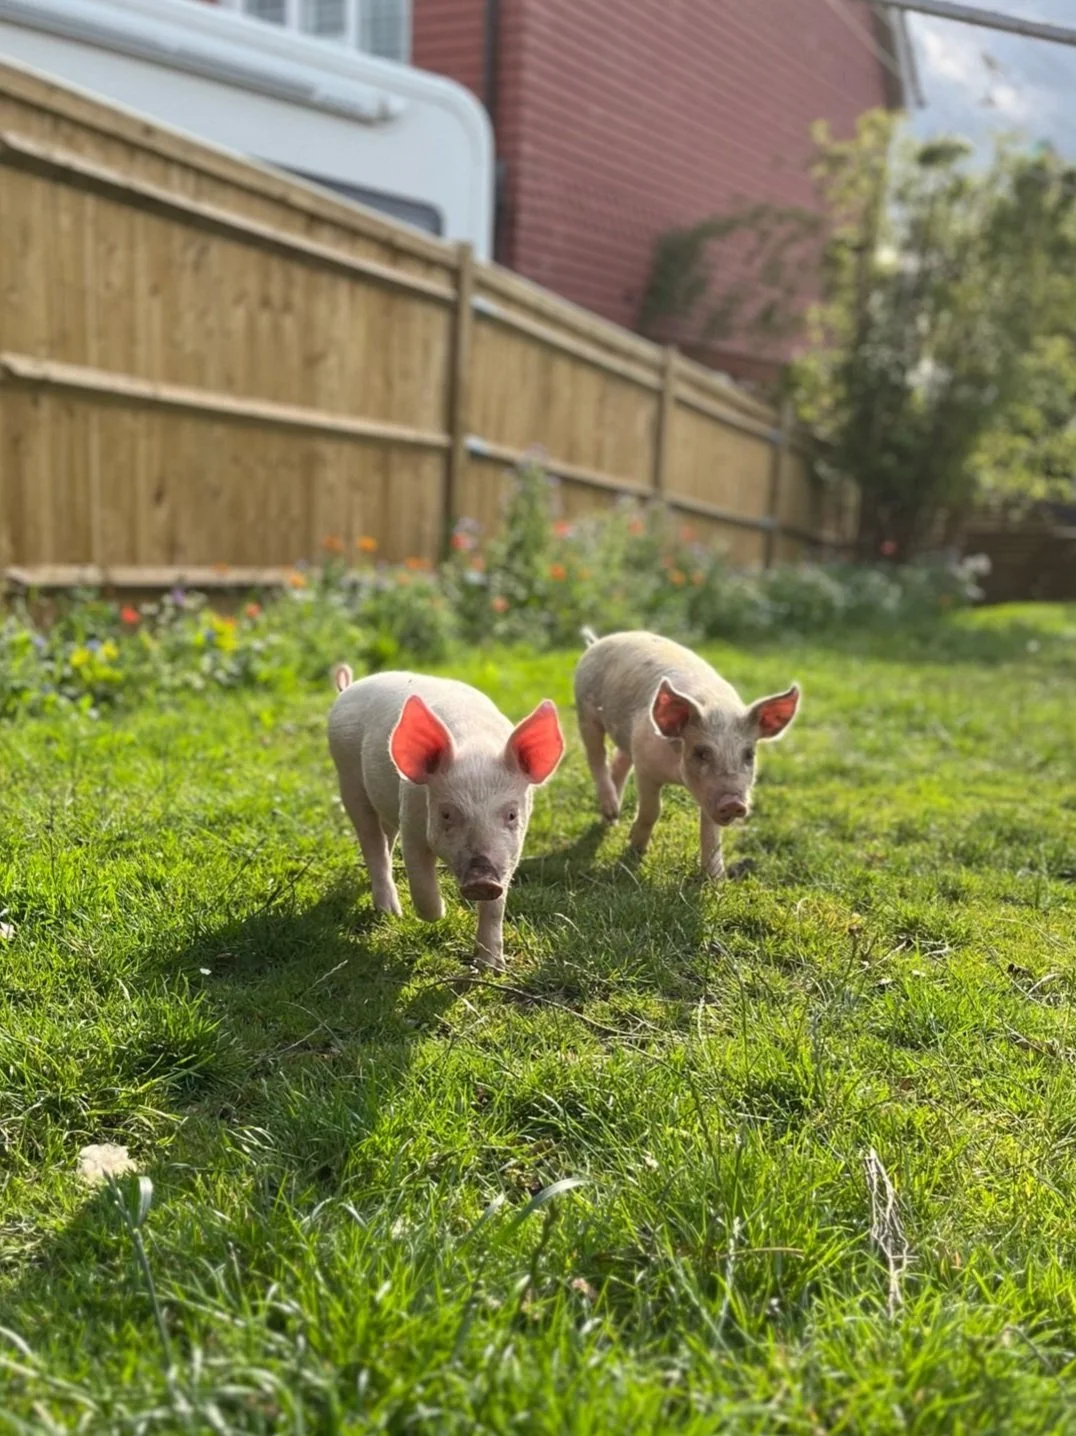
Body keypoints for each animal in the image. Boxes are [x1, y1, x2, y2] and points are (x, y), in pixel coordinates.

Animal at [328, 666, 565, 969]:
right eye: (447, 813)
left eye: (511, 815)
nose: (482, 881)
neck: (475, 747)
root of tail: (349, 688)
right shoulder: (411, 820)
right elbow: (421, 880)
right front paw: (440, 914)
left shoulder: (511, 851)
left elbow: (496, 907)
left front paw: (491, 966)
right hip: (348, 780)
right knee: (372, 843)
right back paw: (391, 913)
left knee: (385, 841)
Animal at [573, 629, 799, 880]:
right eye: (701, 752)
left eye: (749, 754)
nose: (733, 802)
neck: (678, 777)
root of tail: (600, 641)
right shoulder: (645, 766)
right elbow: (652, 810)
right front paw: (636, 850)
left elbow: (711, 831)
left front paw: (716, 879)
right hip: (586, 711)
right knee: (597, 758)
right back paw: (611, 812)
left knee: (619, 761)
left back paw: (611, 820)